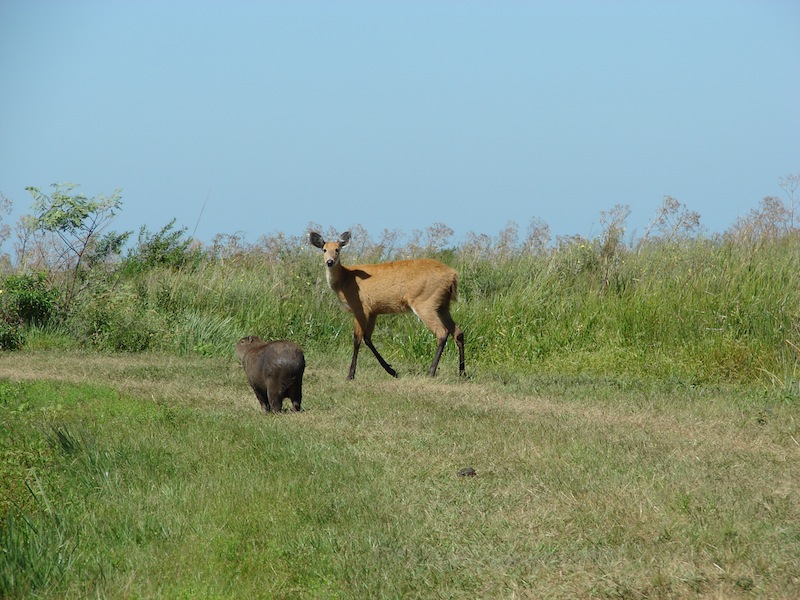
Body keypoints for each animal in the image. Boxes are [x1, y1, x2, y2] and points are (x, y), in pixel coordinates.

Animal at [309, 230, 465, 380]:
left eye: (337, 249)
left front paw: (350, 375)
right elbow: (367, 338)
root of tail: (452, 275)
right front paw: (392, 371)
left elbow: (357, 339)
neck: (345, 280)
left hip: (425, 302)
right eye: (324, 249)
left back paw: (431, 372)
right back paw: (462, 372)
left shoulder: (360, 308)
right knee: (458, 332)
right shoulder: (373, 311)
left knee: (442, 332)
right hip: (443, 306)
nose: (330, 262)